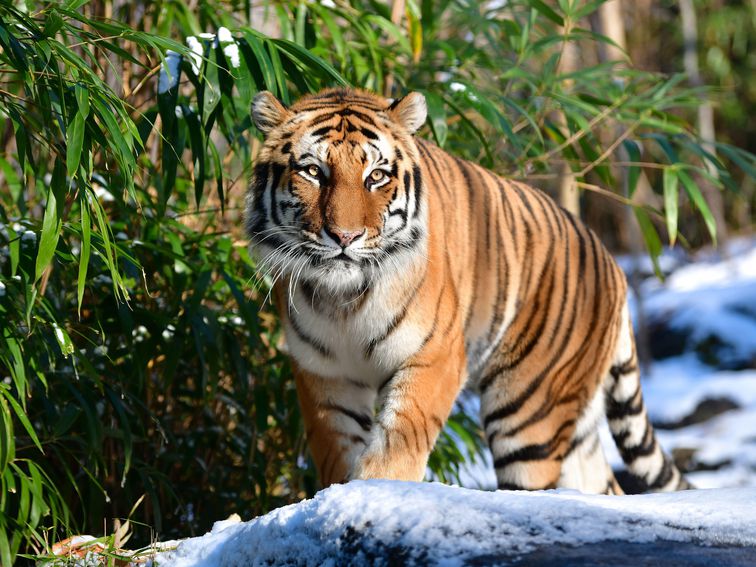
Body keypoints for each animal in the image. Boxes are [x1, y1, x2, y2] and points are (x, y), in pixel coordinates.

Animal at [245, 87, 690, 495]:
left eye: (376, 176)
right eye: (313, 172)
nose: (345, 237)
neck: (343, 300)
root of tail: (612, 263)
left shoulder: (435, 354)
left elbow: (399, 441)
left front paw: (377, 490)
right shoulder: (324, 374)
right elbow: (336, 450)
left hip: (528, 412)